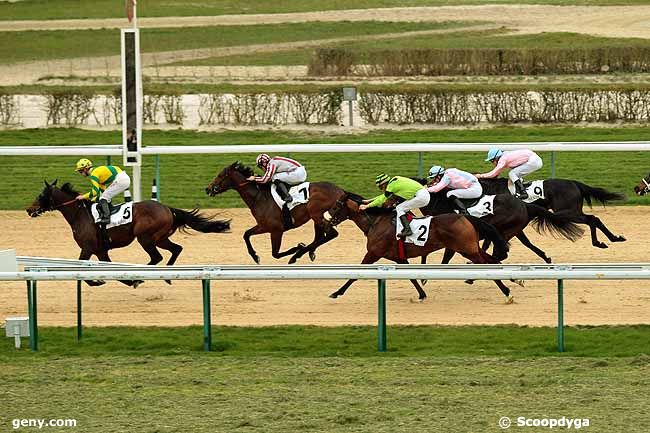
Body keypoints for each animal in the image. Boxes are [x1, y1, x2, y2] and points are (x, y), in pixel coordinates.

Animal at [26, 180, 229, 286]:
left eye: (40, 195)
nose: (29, 209)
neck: (80, 214)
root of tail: (167, 208)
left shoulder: (87, 248)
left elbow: (83, 270)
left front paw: (99, 281)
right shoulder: (101, 251)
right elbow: (110, 268)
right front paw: (122, 281)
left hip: (145, 237)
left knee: (156, 257)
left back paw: (140, 276)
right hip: (160, 238)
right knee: (176, 249)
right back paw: (166, 277)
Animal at [205, 162, 344, 264]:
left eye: (220, 175)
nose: (208, 189)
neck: (258, 197)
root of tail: (340, 191)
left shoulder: (276, 229)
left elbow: (275, 254)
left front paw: (297, 248)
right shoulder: (264, 226)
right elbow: (246, 234)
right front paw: (255, 256)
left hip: (317, 214)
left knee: (331, 234)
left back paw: (297, 254)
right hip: (316, 218)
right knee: (320, 237)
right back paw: (308, 252)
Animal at [322, 192, 508, 300]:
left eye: (336, 206)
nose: (325, 221)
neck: (376, 222)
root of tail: (465, 217)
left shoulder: (373, 253)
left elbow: (355, 275)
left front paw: (337, 292)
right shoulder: (399, 258)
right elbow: (411, 277)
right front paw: (422, 294)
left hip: (466, 249)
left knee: (487, 264)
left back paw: (506, 291)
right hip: (471, 248)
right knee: (491, 260)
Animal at [478, 177, 624, 248]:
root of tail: (575, 183)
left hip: (568, 212)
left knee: (591, 219)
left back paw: (598, 242)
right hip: (573, 211)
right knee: (594, 219)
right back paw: (614, 238)